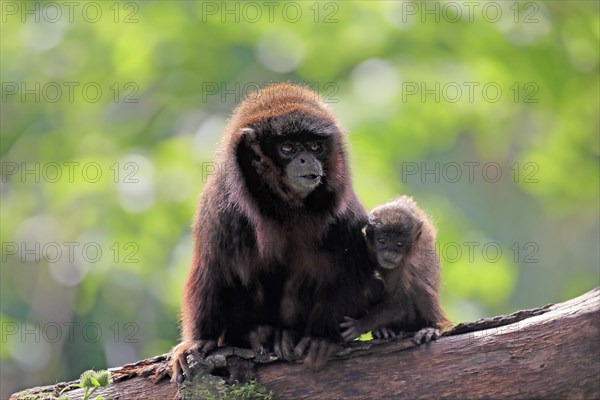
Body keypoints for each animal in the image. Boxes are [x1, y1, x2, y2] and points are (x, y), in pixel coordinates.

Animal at [170, 82, 376, 382]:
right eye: (287, 148)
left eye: (315, 146)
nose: (306, 159)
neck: (284, 208)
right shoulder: (221, 208)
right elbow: (212, 268)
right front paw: (198, 341)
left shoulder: (343, 216)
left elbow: (353, 271)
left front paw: (322, 338)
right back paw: (259, 333)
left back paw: (286, 335)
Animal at [342, 196, 450, 344]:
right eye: (382, 241)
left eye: (400, 244)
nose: (390, 253)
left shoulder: (404, 267)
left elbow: (400, 303)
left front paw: (360, 325)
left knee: (419, 286)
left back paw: (433, 327)